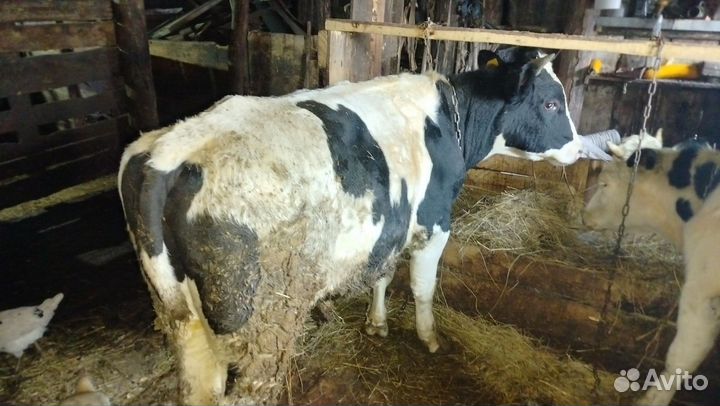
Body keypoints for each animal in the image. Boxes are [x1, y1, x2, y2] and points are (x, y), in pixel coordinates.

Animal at [118, 48, 582, 405]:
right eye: (551, 104)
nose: (579, 148)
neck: (448, 122)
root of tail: (169, 151)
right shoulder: (435, 223)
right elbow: (422, 287)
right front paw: (429, 338)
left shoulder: (389, 226)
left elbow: (381, 274)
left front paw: (376, 324)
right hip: (261, 325)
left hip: (182, 318)